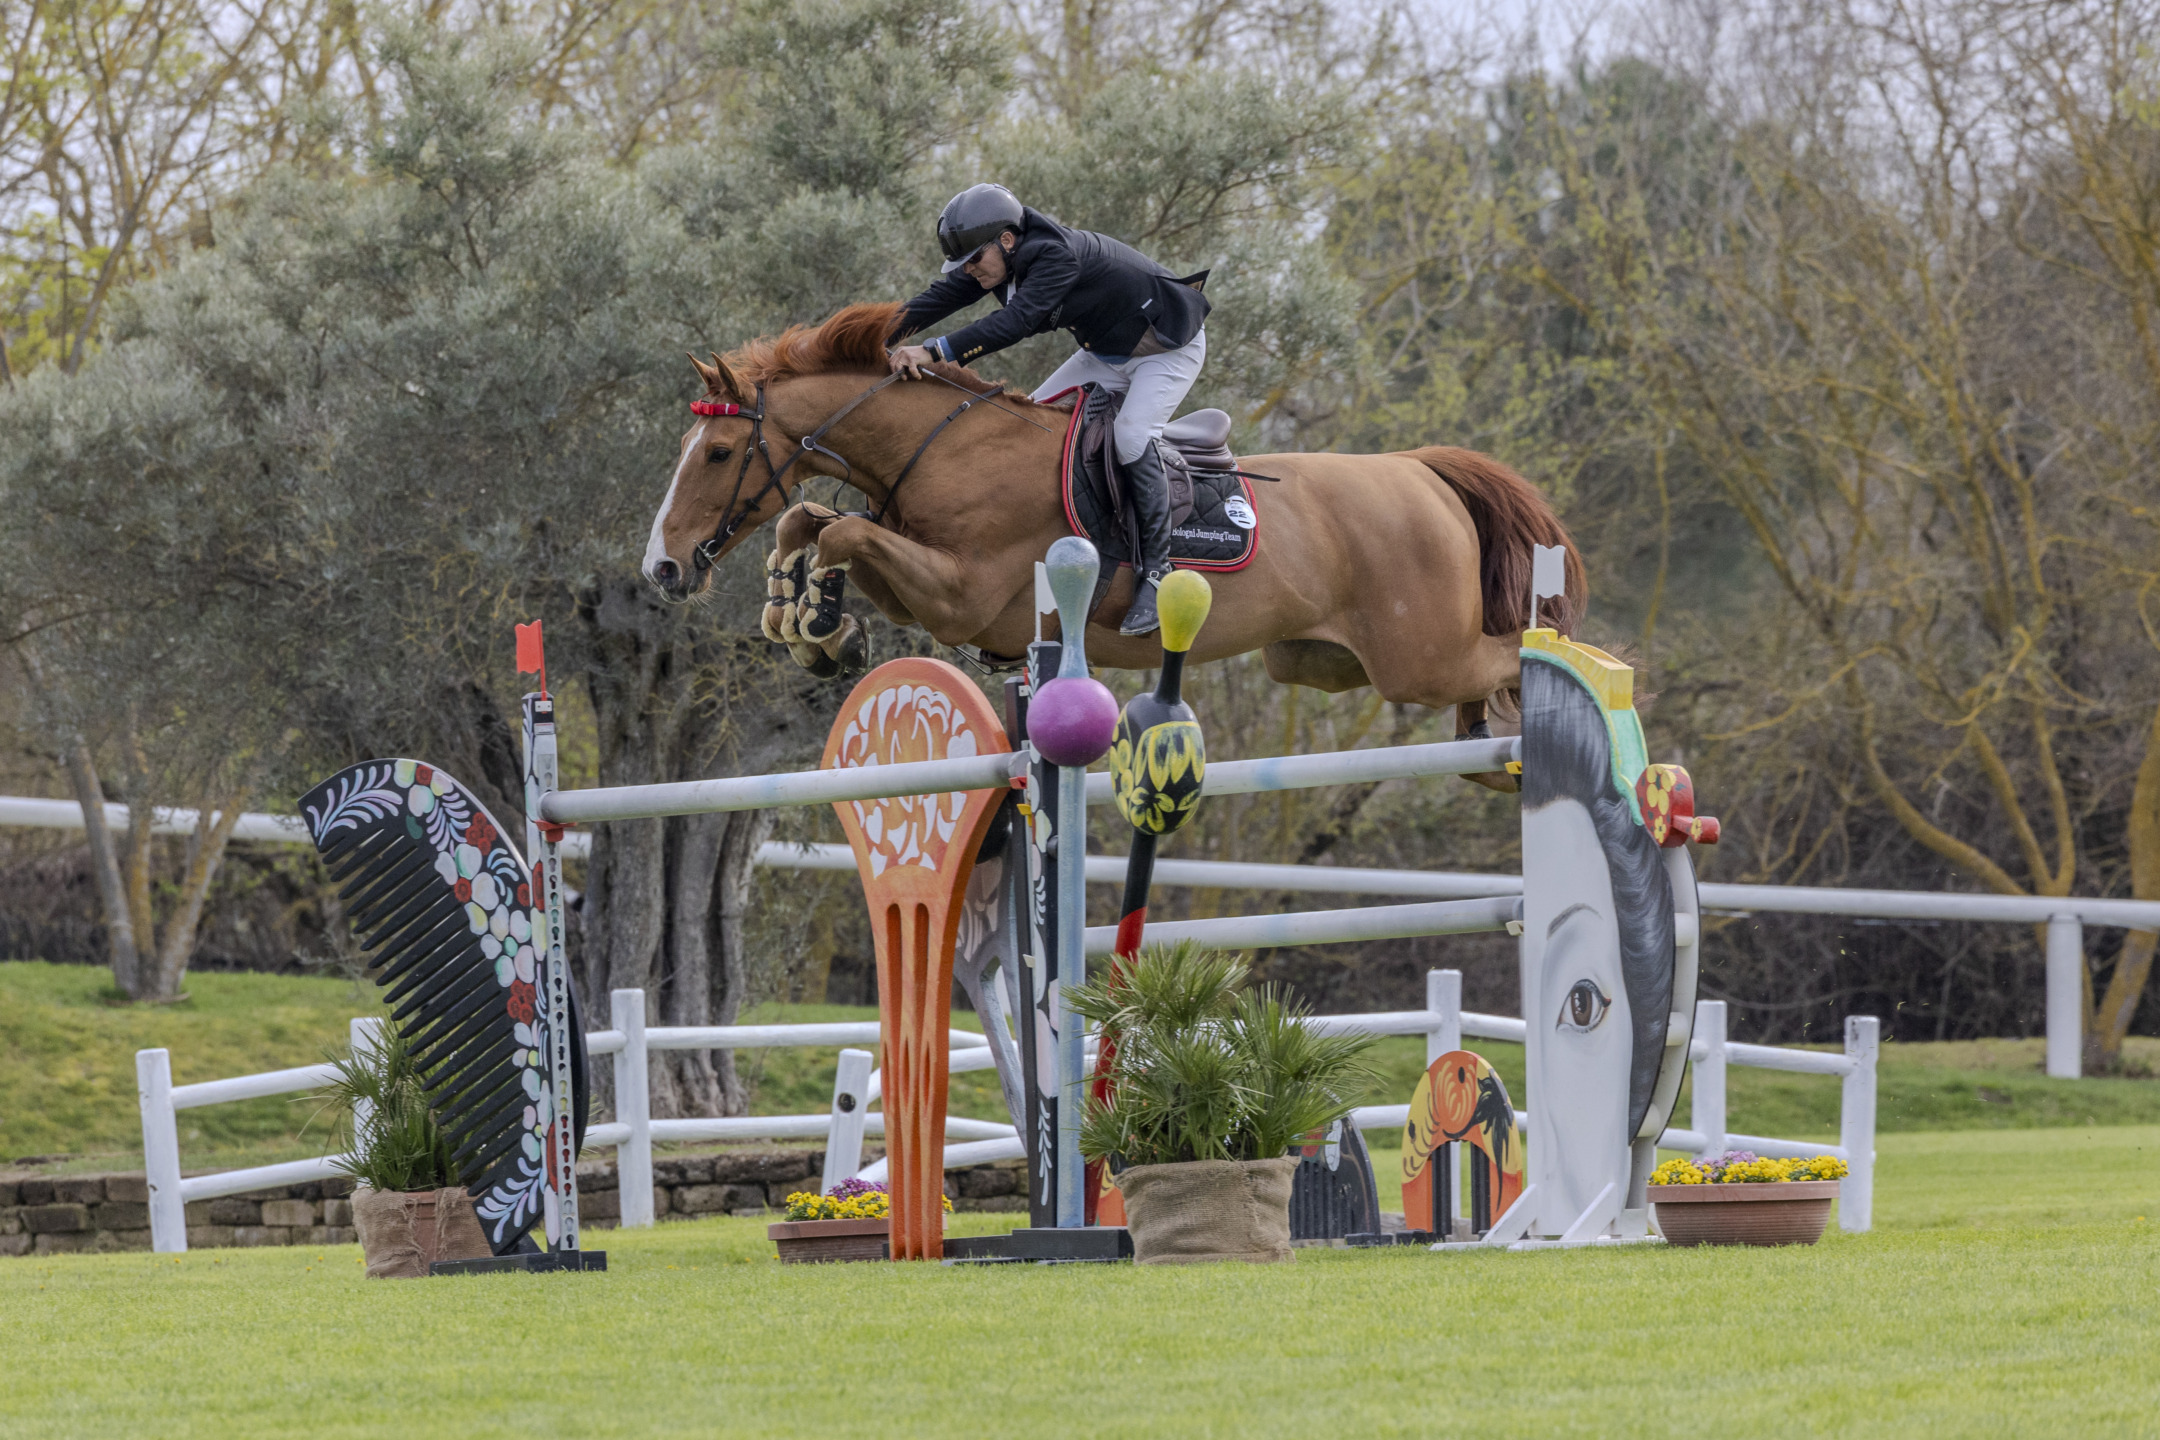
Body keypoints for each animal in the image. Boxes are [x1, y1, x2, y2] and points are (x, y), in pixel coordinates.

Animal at [639, 306, 1589, 734]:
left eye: (717, 454)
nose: (663, 568)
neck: (947, 447)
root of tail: (1420, 472)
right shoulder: (932, 589)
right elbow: (806, 517)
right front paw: (802, 620)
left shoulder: (963, 594)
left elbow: (838, 529)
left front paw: (823, 626)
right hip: (1317, 663)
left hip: (1417, 657)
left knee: (1515, 652)